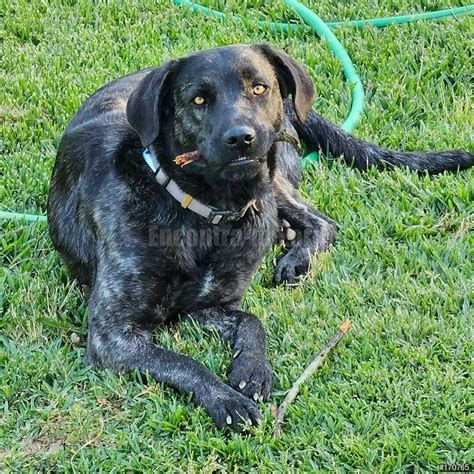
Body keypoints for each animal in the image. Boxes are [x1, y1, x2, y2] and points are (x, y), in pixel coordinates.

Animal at [46, 43, 472, 430]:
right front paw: (226, 399)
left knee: (320, 220)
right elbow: (182, 361)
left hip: (272, 183)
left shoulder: (213, 305)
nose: (241, 137)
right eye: (198, 98)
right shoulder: (114, 335)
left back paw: (296, 256)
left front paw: (252, 370)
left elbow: (252, 321)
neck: (205, 215)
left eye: (259, 88)